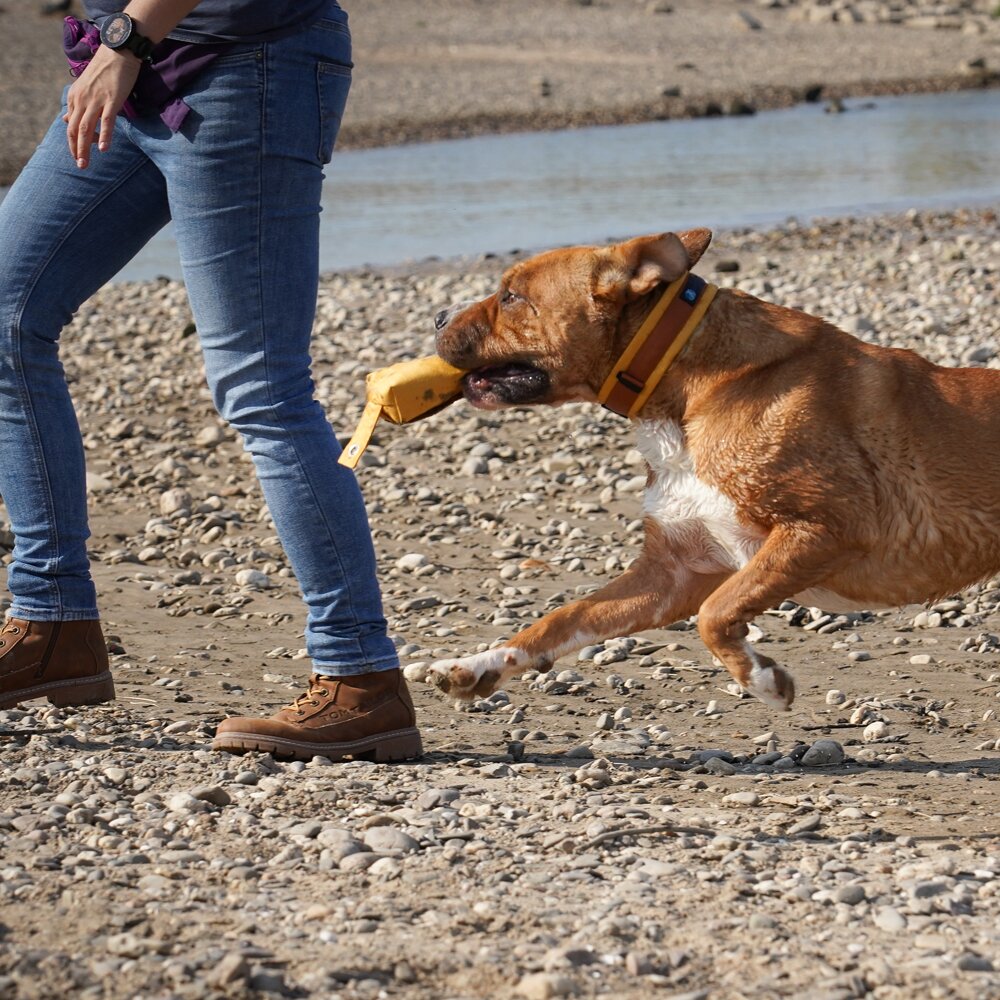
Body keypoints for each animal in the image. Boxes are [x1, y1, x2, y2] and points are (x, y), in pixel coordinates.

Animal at [426, 227, 1000, 712]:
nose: (435, 316)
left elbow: (714, 615)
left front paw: (761, 679)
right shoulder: (672, 573)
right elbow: (563, 618)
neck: (683, 386)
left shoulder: (827, 527)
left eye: (510, 296)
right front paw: (478, 665)